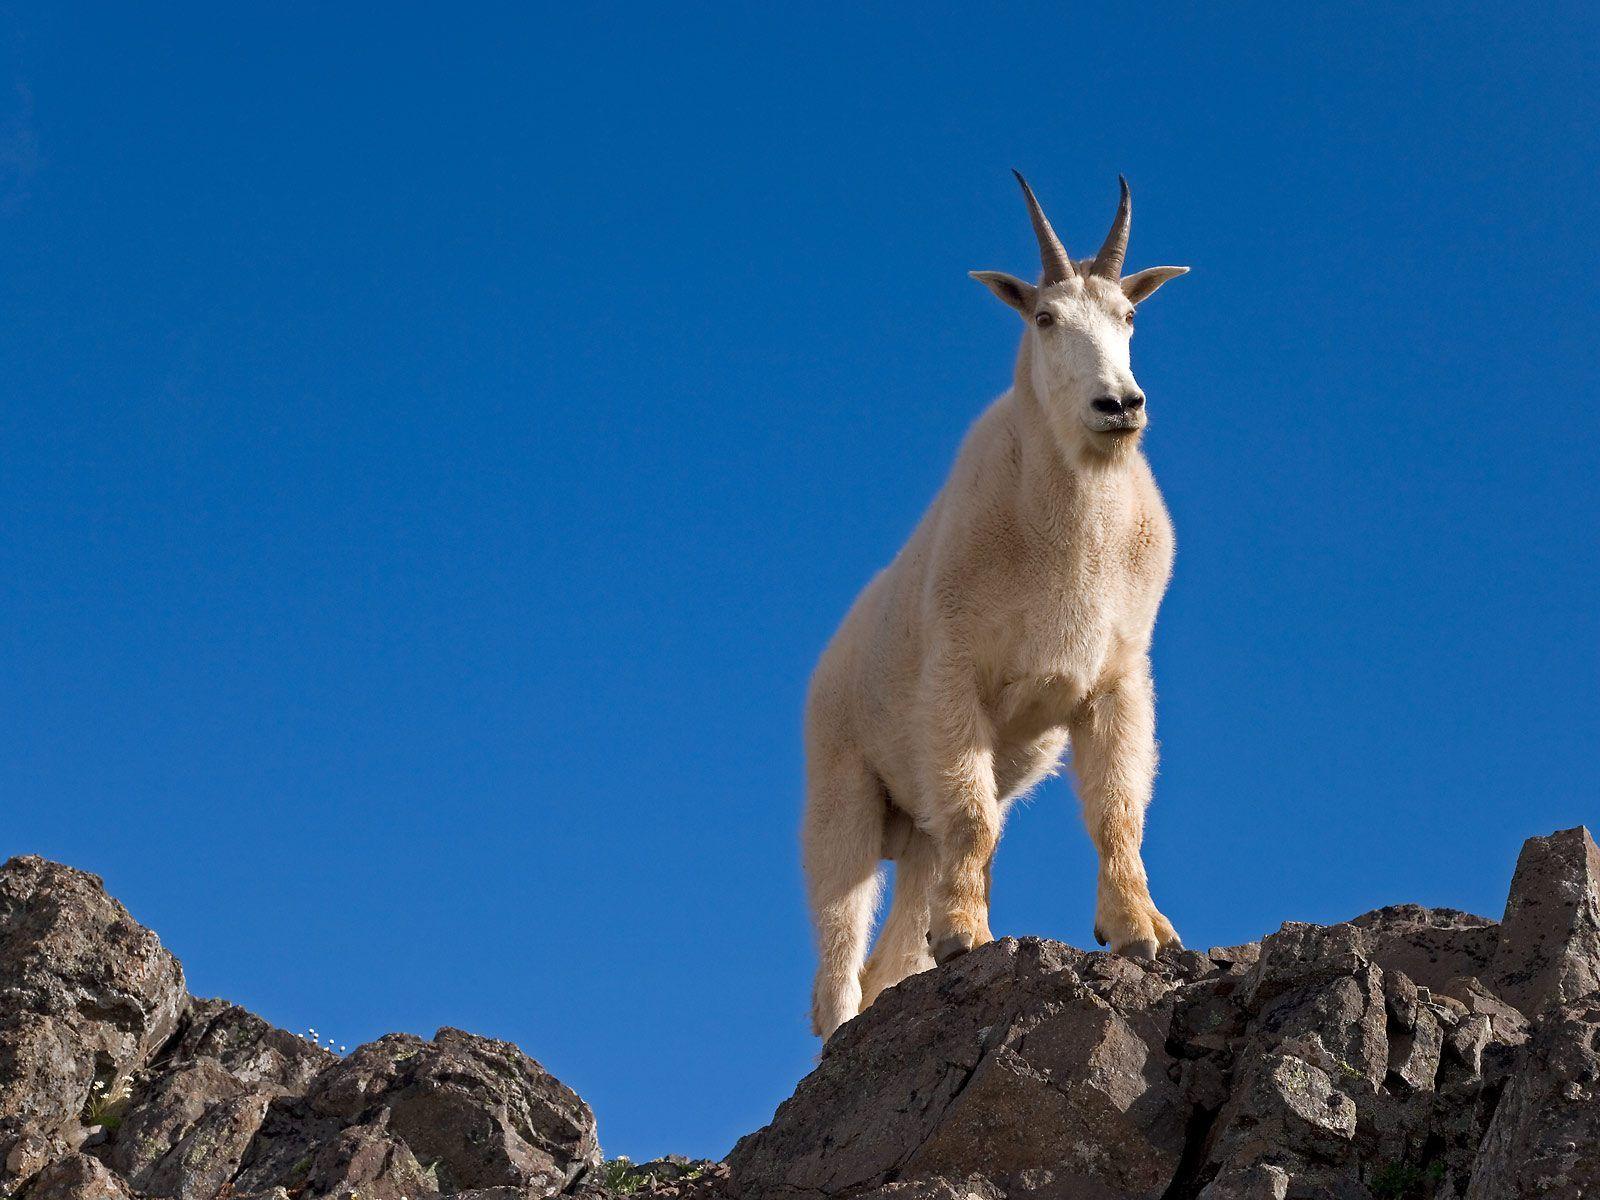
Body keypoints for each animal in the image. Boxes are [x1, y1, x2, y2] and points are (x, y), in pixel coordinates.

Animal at [803, 172, 1191, 1039]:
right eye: (1045, 319)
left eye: (1130, 317)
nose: (1120, 405)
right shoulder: (958, 675)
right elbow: (978, 819)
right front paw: (969, 939)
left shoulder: (1118, 681)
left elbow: (1117, 809)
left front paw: (1141, 931)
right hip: (842, 789)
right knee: (839, 950)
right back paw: (842, 1031)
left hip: (913, 831)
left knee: (893, 944)